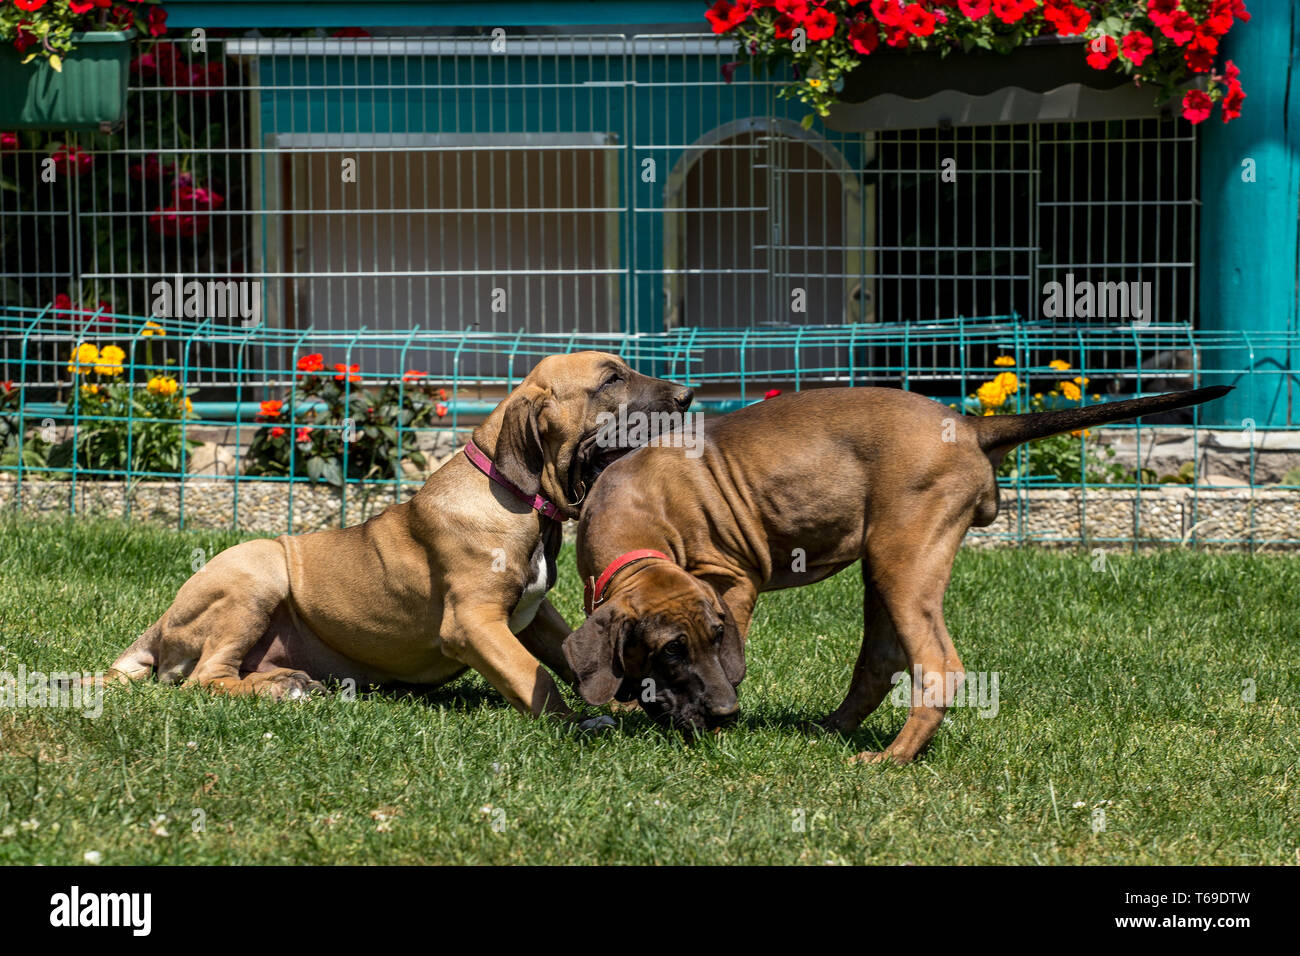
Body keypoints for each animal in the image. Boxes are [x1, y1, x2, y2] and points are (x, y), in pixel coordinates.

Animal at [106, 356, 696, 723]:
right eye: (611, 380)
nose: (689, 395)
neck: (519, 498)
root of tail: (160, 625)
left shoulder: (536, 615)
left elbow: (571, 657)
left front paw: (615, 703)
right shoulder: (473, 622)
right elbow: (535, 677)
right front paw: (574, 723)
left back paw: (286, 682)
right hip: (258, 571)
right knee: (202, 678)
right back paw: (280, 689)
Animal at [566, 385, 1227, 759]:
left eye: (709, 639)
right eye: (671, 650)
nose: (726, 715)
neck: (638, 523)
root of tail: (968, 423)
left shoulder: (733, 582)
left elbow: (733, 652)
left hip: (904, 558)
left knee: (937, 667)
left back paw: (891, 760)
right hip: (887, 563)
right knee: (881, 660)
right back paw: (830, 730)